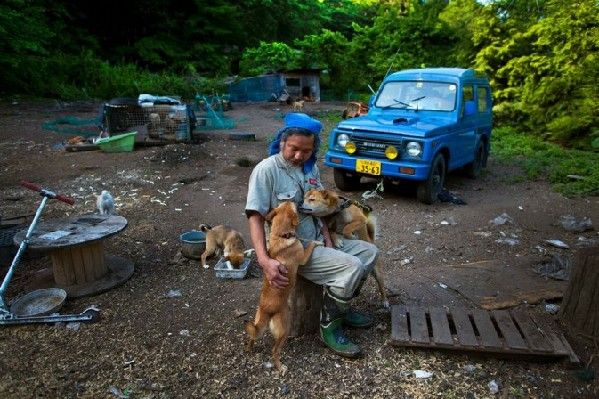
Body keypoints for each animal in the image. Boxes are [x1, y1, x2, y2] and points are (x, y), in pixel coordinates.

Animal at [244, 203, 318, 376]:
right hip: (284, 329)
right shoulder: (303, 257)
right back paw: (280, 367)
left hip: (258, 322)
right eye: (292, 206)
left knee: (253, 336)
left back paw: (250, 349)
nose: (295, 202)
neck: (281, 235)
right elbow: (310, 246)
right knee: (274, 351)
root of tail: (266, 309)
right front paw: (317, 242)